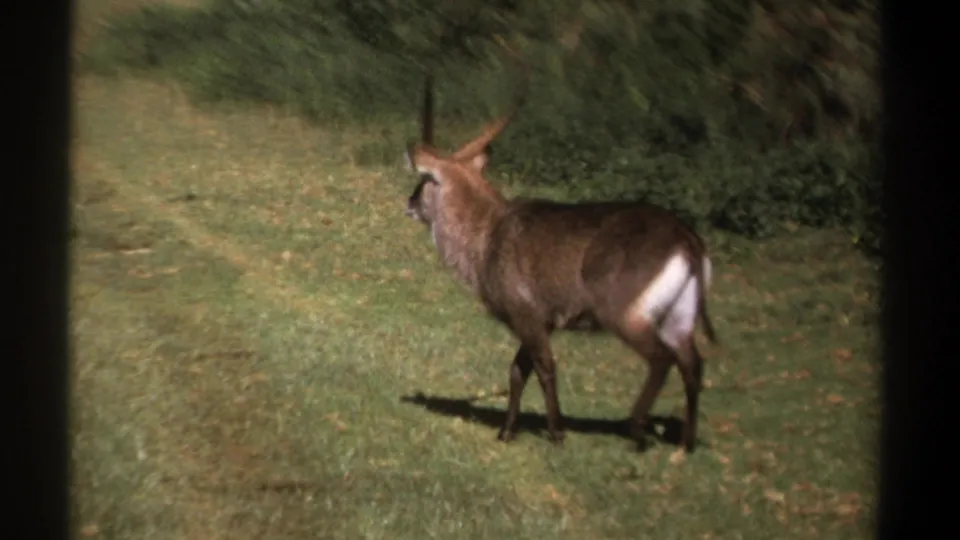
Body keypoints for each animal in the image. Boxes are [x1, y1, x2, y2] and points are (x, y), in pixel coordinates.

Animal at [402, 68, 718, 453]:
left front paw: (556, 432)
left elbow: (544, 368)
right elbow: (517, 371)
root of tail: (686, 238)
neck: (487, 232)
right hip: (679, 317)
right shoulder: (541, 320)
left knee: (662, 359)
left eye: (424, 179)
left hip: (625, 315)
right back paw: (685, 446)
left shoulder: (527, 316)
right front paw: (507, 432)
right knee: (693, 364)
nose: (409, 203)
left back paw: (636, 432)